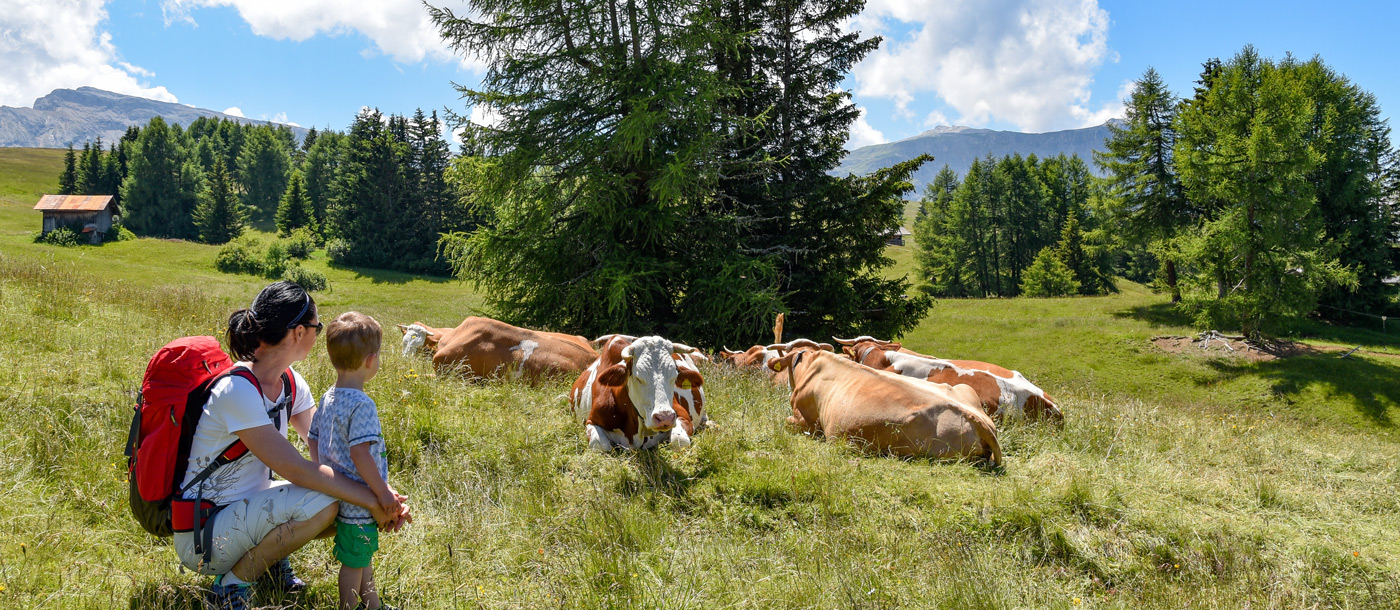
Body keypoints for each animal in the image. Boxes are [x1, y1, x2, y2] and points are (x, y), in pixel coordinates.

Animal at [568, 335, 705, 450]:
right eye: (638, 378)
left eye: (674, 376)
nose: (664, 418)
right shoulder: (592, 421)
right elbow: (601, 445)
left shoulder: (682, 415)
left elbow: (680, 440)